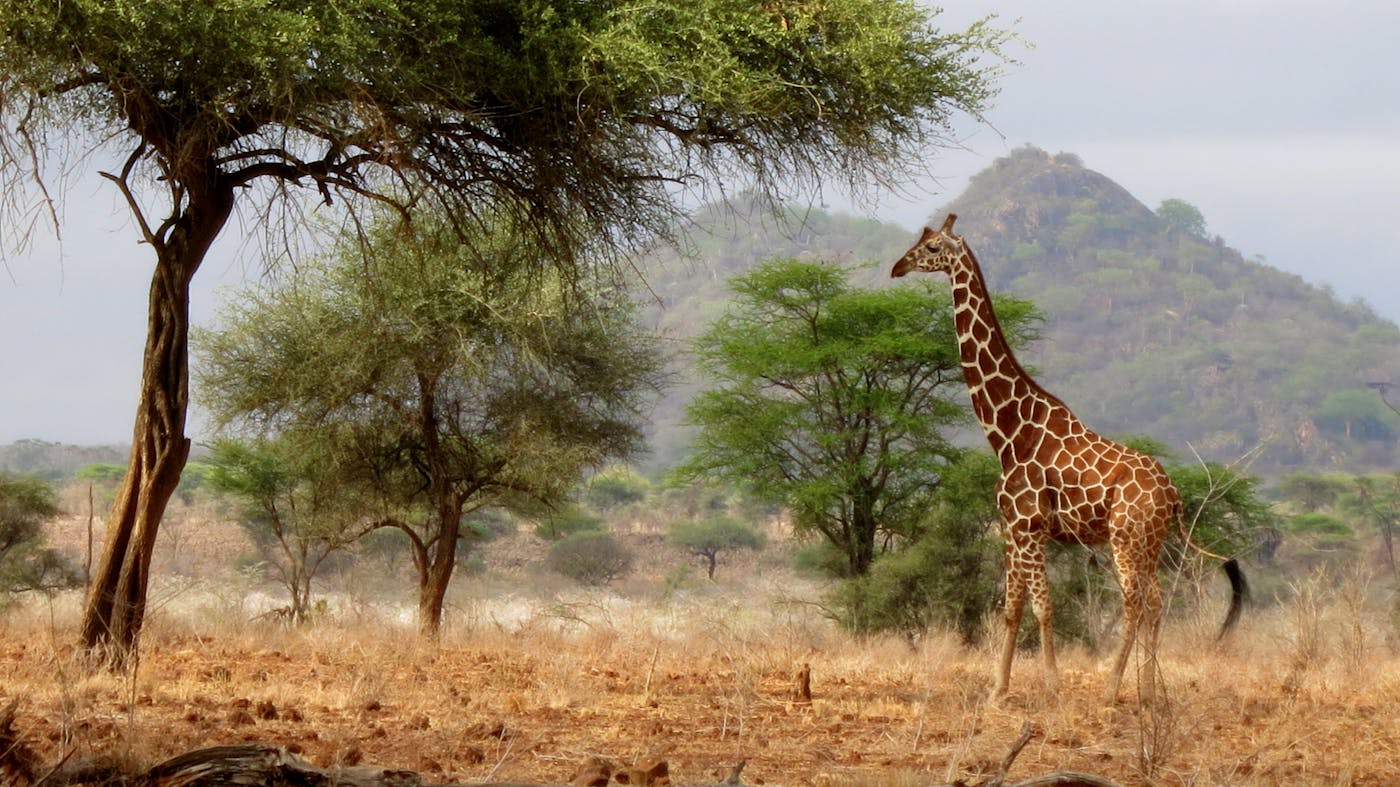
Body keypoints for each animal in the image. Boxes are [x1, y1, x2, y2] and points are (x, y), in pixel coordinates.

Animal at [890, 212, 1254, 697]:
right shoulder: (1012, 529)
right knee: (1157, 600)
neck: (1008, 432)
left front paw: (1052, 684)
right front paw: (998, 690)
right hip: (1150, 542)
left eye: (932, 248)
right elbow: (1012, 608)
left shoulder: (1030, 528)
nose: (897, 267)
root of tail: (1173, 495)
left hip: (1125, 537)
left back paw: (1114, 688)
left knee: (1135, 601)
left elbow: (1043, 608)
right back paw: (1149, 691)